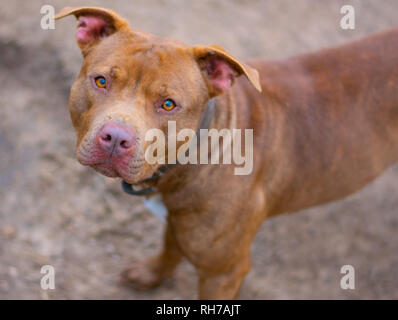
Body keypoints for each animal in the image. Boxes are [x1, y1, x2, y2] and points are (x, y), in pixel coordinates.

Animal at [55, 6, 398, 298]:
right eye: (101, 81)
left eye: (168, 104)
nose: (115, 138)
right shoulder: (178, 221)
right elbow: (170, 246)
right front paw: (153, 273)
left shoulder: (224, 273)